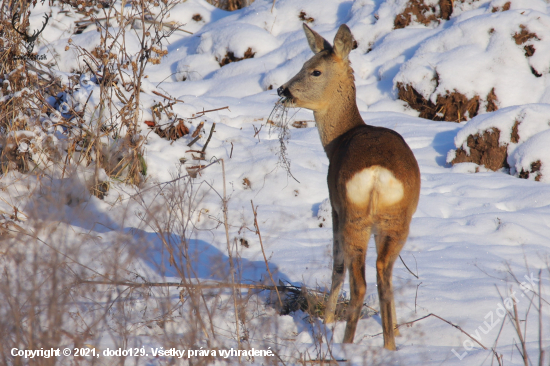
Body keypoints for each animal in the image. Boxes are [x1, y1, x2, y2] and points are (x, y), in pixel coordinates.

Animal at [280, 24, 422, 350]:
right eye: (304, 64)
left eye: (314, 70)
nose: (282, 90)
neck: (338, 140)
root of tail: (377, 175)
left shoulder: (334, 205)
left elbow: (336, 266)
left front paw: (328, 320)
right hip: (396, 220)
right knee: (384, 274)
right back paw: (390, 343)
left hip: (353, 215)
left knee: (358, 281)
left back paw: (345, 343)